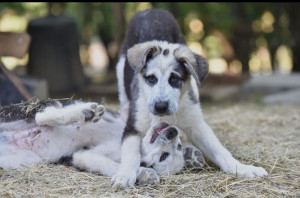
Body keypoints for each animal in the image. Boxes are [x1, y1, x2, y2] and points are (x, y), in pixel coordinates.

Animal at [112, 8, 268, 187]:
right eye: (151, 78)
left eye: (174, 79)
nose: (161, 107)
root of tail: (151, 10)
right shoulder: (133, 129)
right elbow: (131, 154)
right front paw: (124, 174)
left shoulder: (197, 125)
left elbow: (220, 150)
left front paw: (242, 168)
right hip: (121, 75)